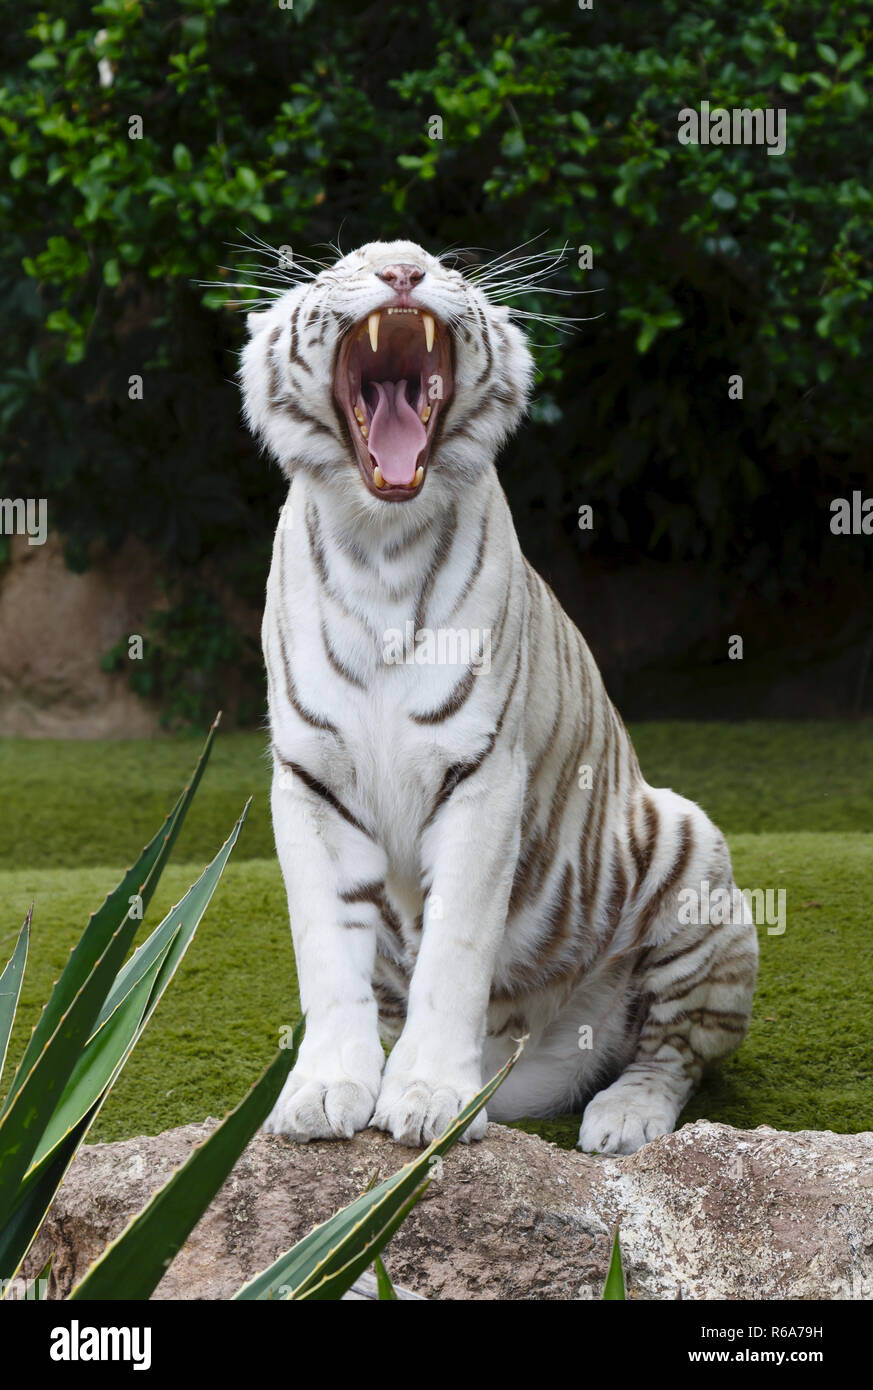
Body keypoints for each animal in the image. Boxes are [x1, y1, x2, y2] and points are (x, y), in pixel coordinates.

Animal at [239, 238, 758, 1154]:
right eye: (347, 264)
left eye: (438, 264)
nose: (402, 270)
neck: (380, 544)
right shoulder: (310, 780)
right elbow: (325, 950)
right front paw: (328, 1089)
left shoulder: (480, 772)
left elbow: (456, 947)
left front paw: (427, 1096)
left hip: (691, 859)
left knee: (672, 1051)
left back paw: (620, 1116)